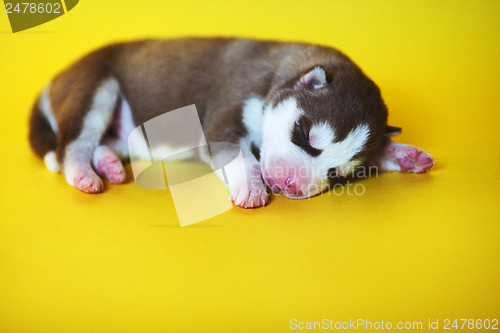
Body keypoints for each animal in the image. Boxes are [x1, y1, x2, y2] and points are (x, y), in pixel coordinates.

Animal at [28, 37, 434, 206]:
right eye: (303, 134)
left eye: (337, 174)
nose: (290, 185)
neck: (279, 76)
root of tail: (53, 80)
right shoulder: (226, 114)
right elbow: (242, 156)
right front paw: (252, 187)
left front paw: (402, 154)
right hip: (94, 89)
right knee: (71, 146)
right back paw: (84, 174)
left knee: (98, 143)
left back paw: (110, 165)